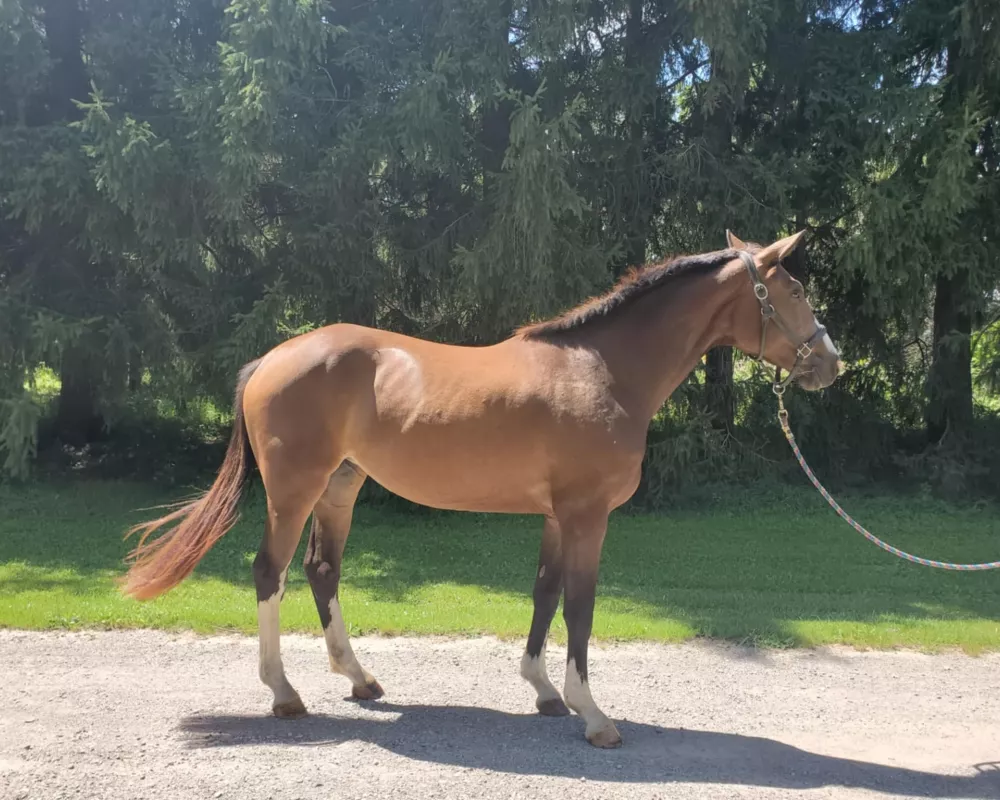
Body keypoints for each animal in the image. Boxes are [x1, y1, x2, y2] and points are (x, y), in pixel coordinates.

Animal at [125, 231, 844, 752]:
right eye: (793, 288)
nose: (831, 362)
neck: (603, 371)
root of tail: (271, 359)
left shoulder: (557, 516)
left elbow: (545, 593)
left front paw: (544, 692)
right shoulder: (587, 516)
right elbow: (581, 606)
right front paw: (593, 715)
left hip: (339, 488)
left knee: (321, 570)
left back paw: (359, 680)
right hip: (294, 492)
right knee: (269, 571)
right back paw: (283, 694)